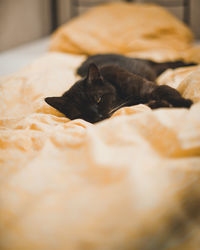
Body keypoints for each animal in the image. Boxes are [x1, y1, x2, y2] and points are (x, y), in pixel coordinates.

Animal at [45, 53, 194, 123]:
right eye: (80, 112)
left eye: (98, 99)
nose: (97, 116)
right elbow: (151, 105)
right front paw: (163, 105)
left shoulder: (148, 88)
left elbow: (166, 91)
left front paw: (185, 103)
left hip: (147, 63)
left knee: (167, 63)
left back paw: (190, 63)